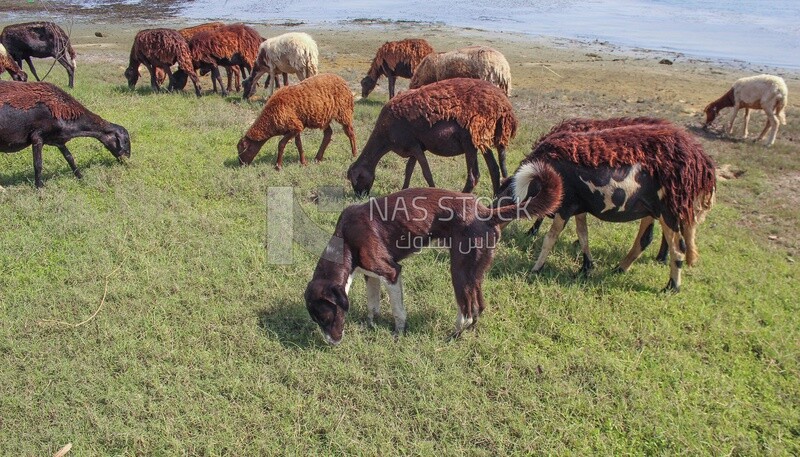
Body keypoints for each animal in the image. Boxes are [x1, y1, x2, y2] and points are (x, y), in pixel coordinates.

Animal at [0, 80, 130, 187]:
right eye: (125, 141)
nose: (127, 161)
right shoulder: (37, 137)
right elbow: (38, 164)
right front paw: (39, 188)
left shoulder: (59, 141)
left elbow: (70, 158)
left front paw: (81, 178)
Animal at [346, 77, 516, 198]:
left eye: (357, 179)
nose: (360, 196)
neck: (384, 138)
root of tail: (504, 105)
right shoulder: (414, 147)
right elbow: (408, 170)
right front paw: (403, 190)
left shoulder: (413, 146)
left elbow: (426, 173)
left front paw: (433, 191)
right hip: (481, 138)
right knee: (494, 169)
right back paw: (495, 199)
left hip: (471, 141)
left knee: (474, 177)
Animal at [496, 120, 716, 292]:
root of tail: (701, 162)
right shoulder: (579, 206)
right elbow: (583, 235)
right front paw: (587, 267)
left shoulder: (566, 206)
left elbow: (550, 238)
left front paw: (535, 269)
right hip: (653, 209)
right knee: (645, 239)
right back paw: (619, 268)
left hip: (669, 210)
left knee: (678, 247)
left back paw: (671, 287)